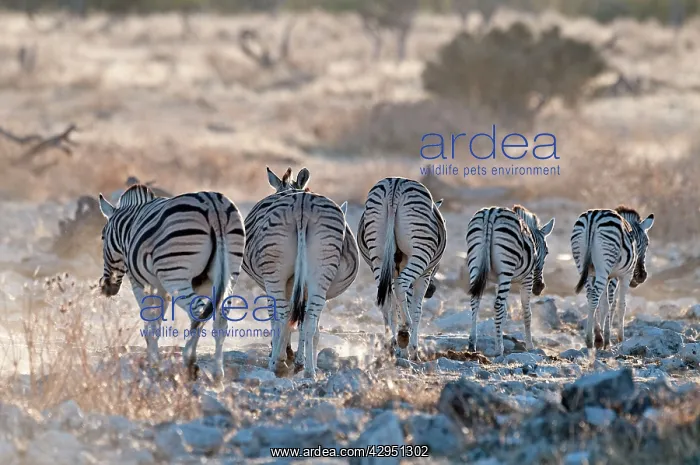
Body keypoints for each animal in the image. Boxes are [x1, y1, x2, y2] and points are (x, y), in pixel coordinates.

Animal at [98, 184, 245, 381]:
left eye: (102, 237)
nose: (106, 287)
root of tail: (214, 206)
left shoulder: (141, 283)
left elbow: (149, 320)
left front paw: (153, 362)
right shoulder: (169, 287)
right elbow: (158, 321)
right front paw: (154, 358)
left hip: (176, 276)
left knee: (197, 312)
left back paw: (190, 363)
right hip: (230, 273)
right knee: (220, 319)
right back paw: (217, 373)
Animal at [242, 167, 358, 378]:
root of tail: (302, 205)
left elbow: (277, 318)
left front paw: (285, 354)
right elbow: (306, 325)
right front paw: (299, 359)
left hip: (275, 274)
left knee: (282, 316)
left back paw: (278, 363)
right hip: (321, 272)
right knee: (310, 321)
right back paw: (309, 371)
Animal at [357, 177, 447, 361]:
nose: (432, 291)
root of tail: (395, 185)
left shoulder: (393, 271)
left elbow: (396, 308)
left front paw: (400, 349)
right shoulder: (424, 275)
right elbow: (417, 310)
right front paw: (413, 351)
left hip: (378, 256)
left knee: (386, 302)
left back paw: (391, 343)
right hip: (420, 251)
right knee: (400, 286)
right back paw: (404, 331)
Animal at [466, 205, 555, 356]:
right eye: (547, 252)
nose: (539, 287)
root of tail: (491, 213)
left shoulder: (498, 281)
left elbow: (504, 313)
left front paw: (500, 337)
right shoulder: (527, 279)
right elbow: (527, 313)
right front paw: (530, 346)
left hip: (475, 264)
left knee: (475, 301)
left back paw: (473, 344)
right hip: (506, 267)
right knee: (497, 305)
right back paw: (498, 350)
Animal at [571, 206, 654, 349]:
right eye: (647, 243)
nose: (642, 276)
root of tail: (592, 218)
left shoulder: (606, 277)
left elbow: (604, 304)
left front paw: (602, 336)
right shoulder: (623, 275)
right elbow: (619, 304)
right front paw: (618, 338)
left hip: (584, 266)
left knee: (591, 296)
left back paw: (594, 337)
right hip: (605, 265)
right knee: (595, 297)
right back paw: (589, 340)